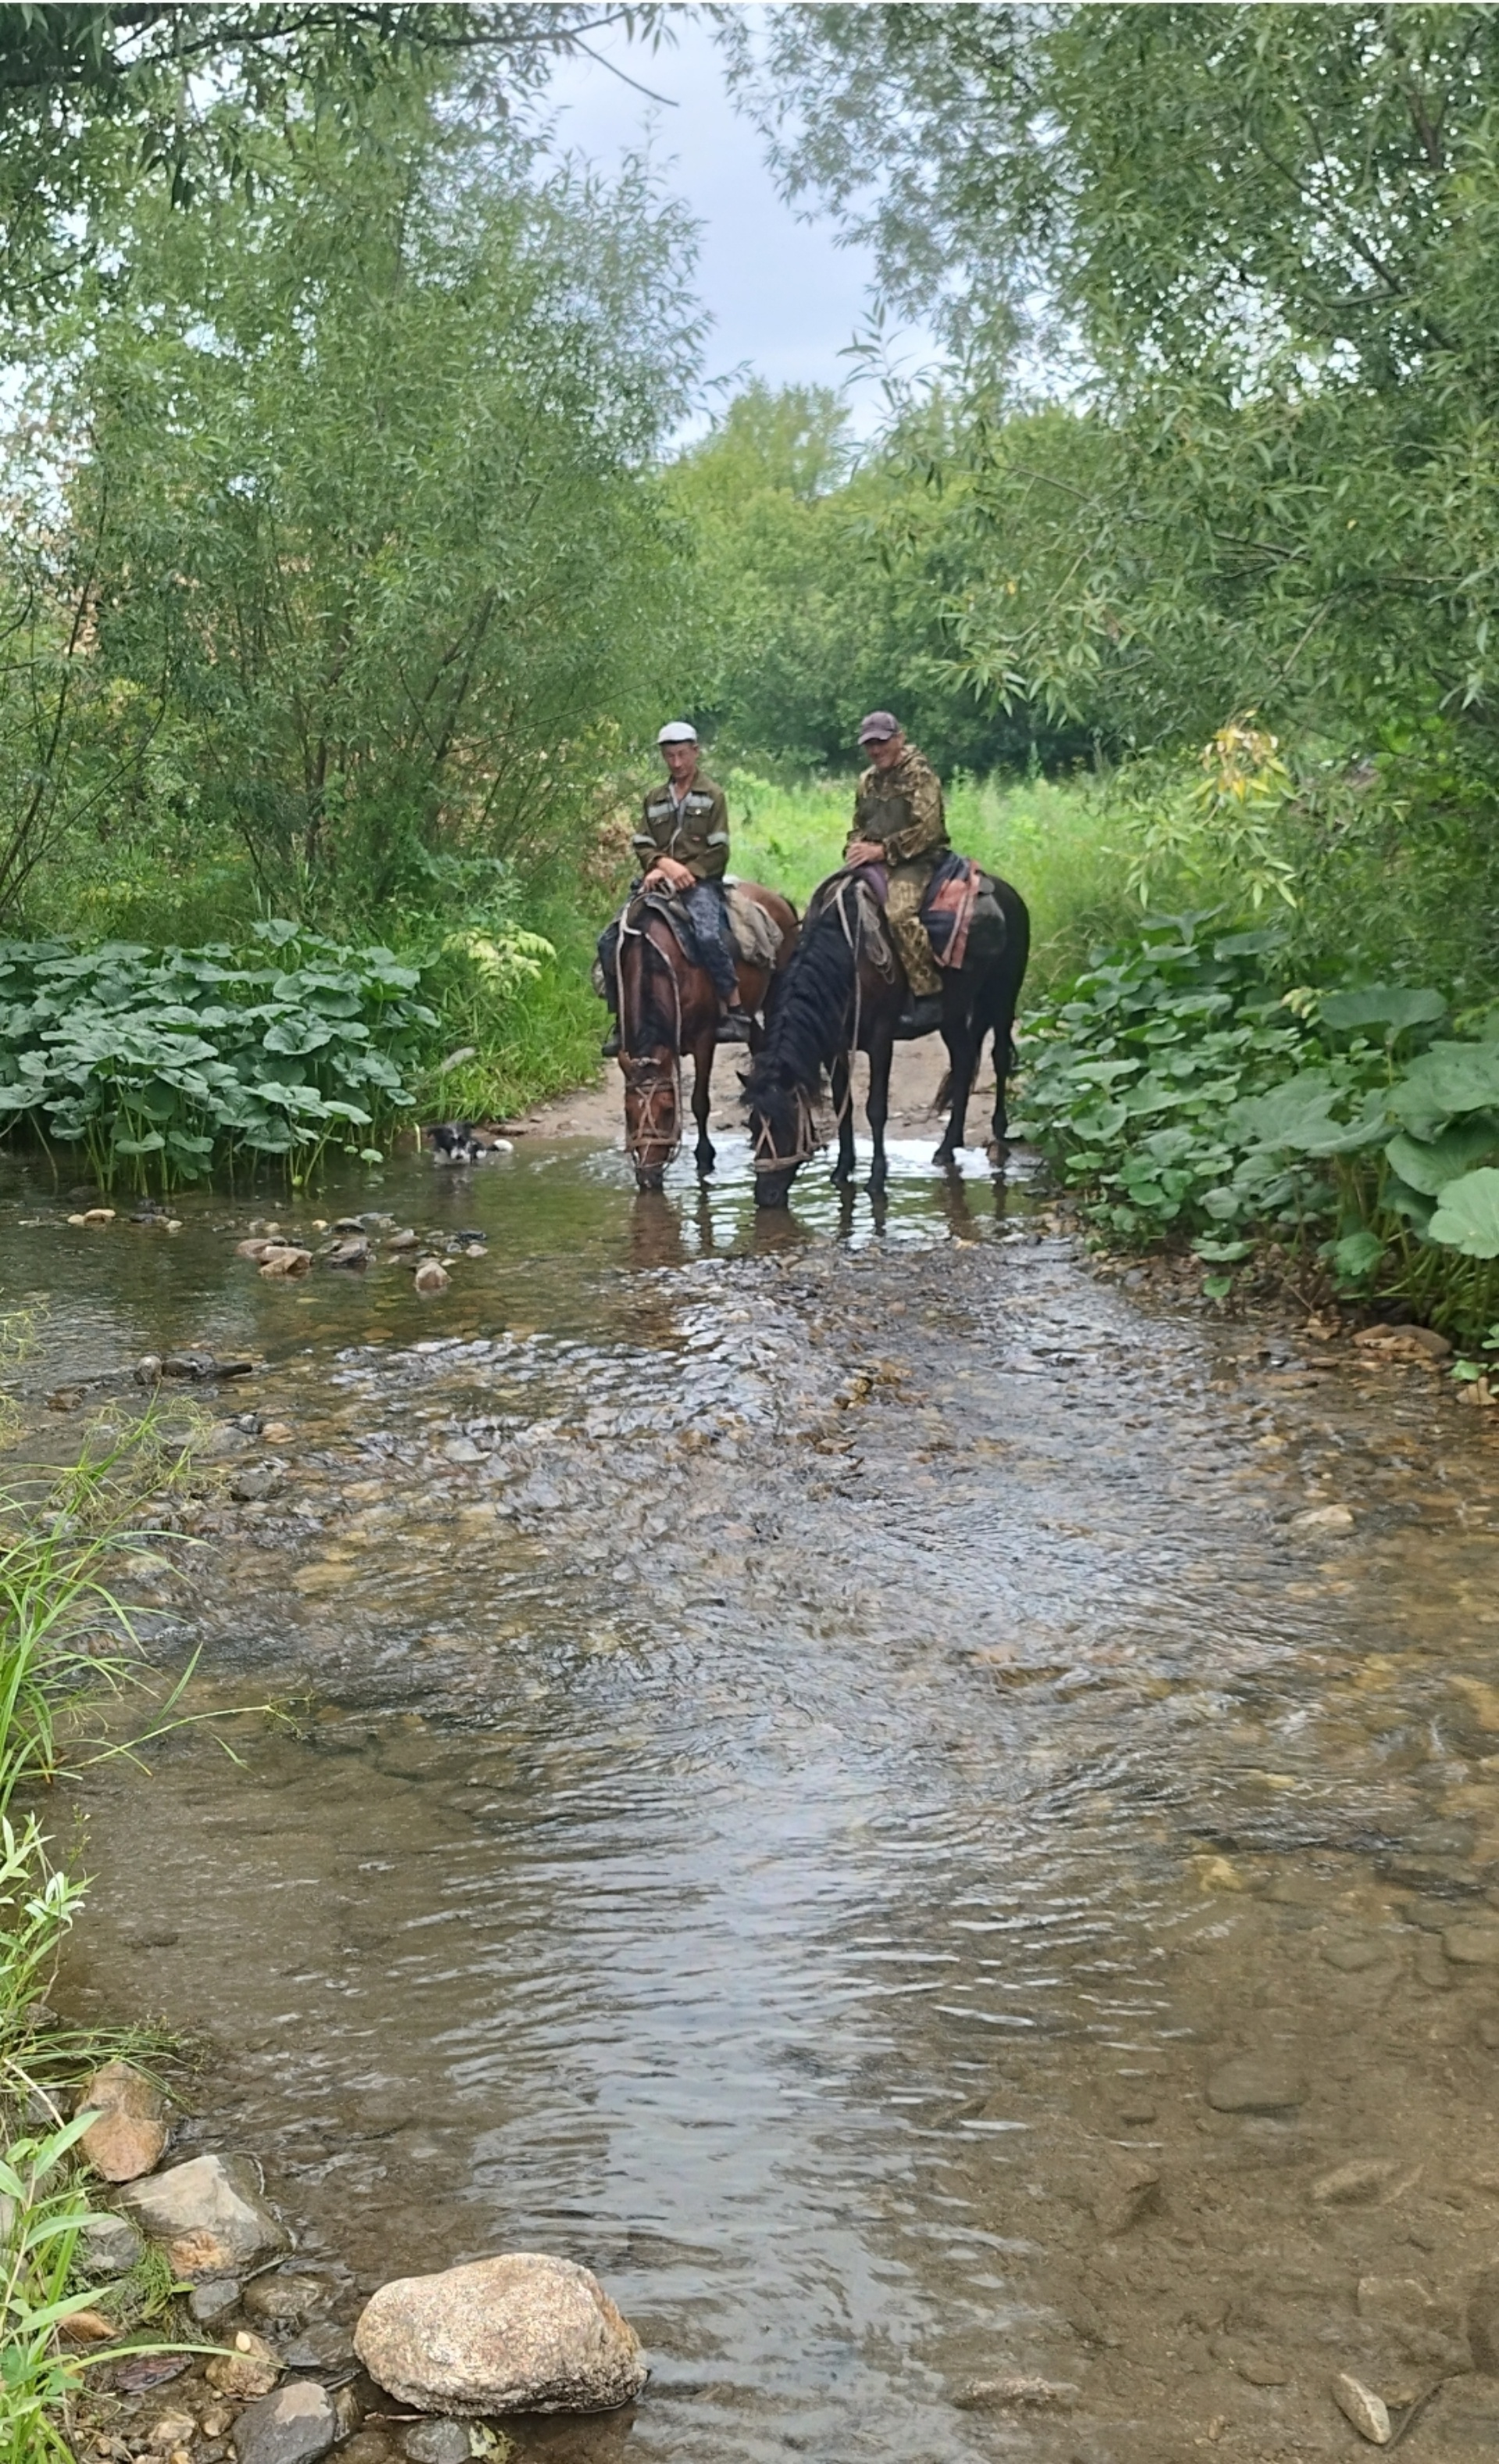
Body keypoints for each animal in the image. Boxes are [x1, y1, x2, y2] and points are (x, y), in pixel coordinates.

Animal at [614, 887, 803, 1192]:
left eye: (668, 1110)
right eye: (628, 1112)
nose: (649, 1178)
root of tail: (776, 898)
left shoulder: (704, 1040)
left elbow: (699, 1103)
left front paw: (704, 1158)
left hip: (777, 993)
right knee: (758, 1043)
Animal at [739, 867, 1025, 1212]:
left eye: (787, 1125)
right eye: (753, 1125)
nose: (765, 1196)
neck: (848, 964)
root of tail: (1009, 892)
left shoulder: (880, 1041)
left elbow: (876, 1109)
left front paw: (876, 1179)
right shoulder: (835, 1047)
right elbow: (843, 1104)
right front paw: (842, 1171)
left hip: (1002, 997)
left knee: (999, 1058)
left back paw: (999, 1137)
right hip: (953, 1013)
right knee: (964, 1060)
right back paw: (947, 1146)